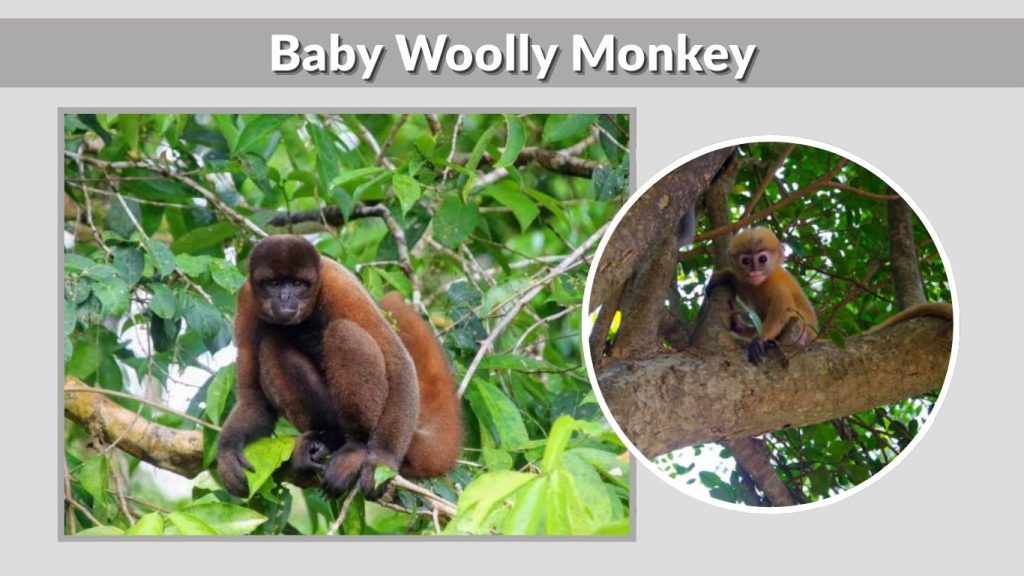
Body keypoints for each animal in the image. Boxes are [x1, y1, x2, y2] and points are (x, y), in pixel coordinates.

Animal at [216, 235, 462, 501]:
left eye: (297, 283)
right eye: (273, 283)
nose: (285, 298)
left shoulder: (339, 285)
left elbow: (398, 361)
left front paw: (382, 460)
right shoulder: (246, 299)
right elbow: (254, 399)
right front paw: (227, 450)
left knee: (344, 333)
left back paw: (358, 448)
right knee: (272, 344)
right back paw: (326, 437)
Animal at [707, 227, 818, 365]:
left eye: (762, 259)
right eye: (746, 261)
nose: (755, 271)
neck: (765, 280)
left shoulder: (778, 286)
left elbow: (780, 315)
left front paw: (759, 340)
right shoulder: (747, 282)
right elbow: (738, 281)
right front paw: (723, 275)